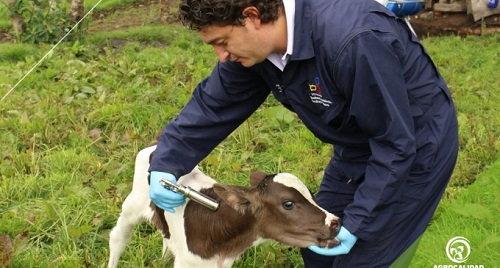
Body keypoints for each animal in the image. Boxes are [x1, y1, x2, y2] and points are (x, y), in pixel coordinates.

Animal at [106, 147, 340, 268]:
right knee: (118, 237)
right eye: (288, 203)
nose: (335, 222)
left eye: (311, 195)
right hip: (132, 205)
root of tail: (155, 146)